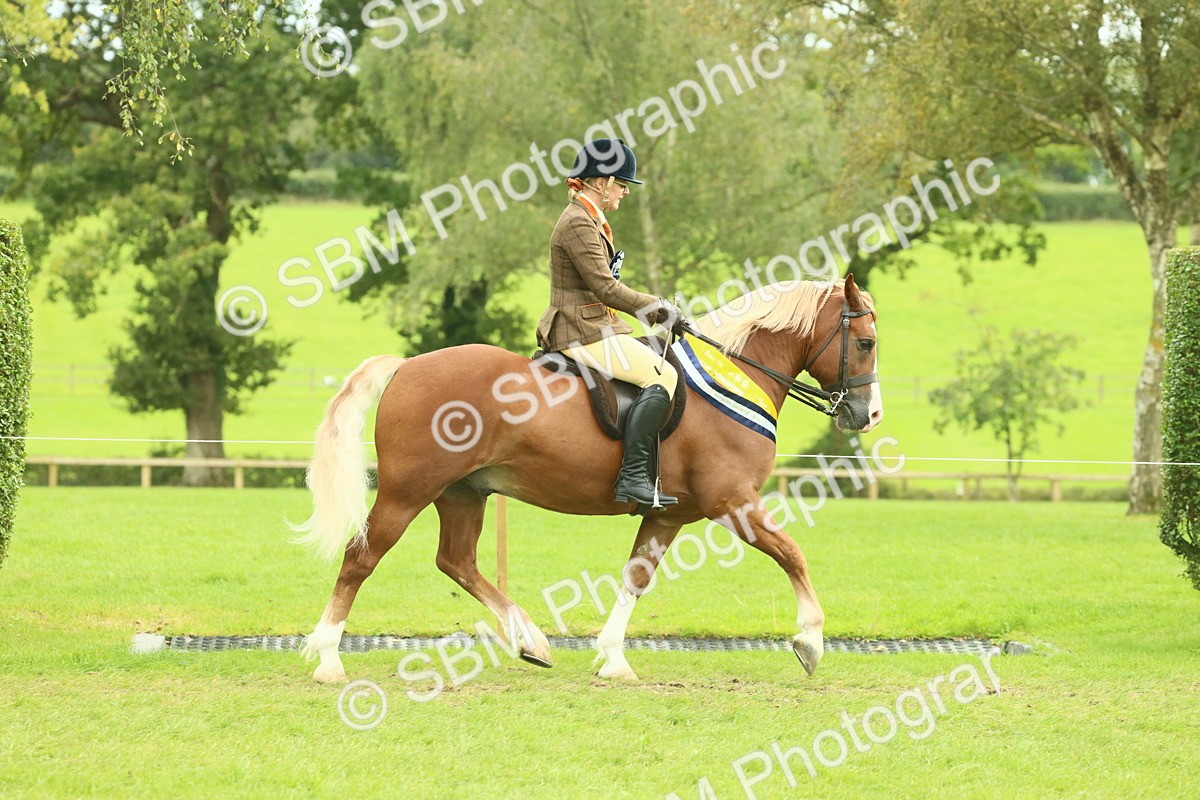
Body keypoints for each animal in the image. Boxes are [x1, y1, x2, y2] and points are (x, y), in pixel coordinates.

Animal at [295, 274, 882, 683]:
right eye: (867, 343)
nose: (869, 416)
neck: (735, 375)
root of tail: (407, 366)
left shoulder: (671, 515)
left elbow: (636, 577)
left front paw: (613, 659)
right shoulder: (732, 503)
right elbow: (792, 554)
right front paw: (810, 642)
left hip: (464, 492)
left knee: (456, 561)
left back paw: (531, 641)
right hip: (407, 491)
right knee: (361, 557)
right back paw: (327, 659)